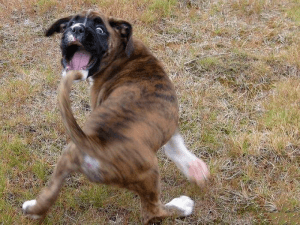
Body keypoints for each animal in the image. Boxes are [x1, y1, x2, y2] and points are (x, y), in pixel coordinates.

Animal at [22, 10, 210, 223]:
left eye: (99, 29)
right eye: (70, 24)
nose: (76, 29)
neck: (123, 55)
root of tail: (93, 143)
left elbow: (175, 145)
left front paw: (194, 168)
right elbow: (174, 144)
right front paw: (194, 168)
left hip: (66, 159)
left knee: (48, 195)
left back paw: (32, 208)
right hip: (149, 173)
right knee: (153, 211)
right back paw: (182, 206)